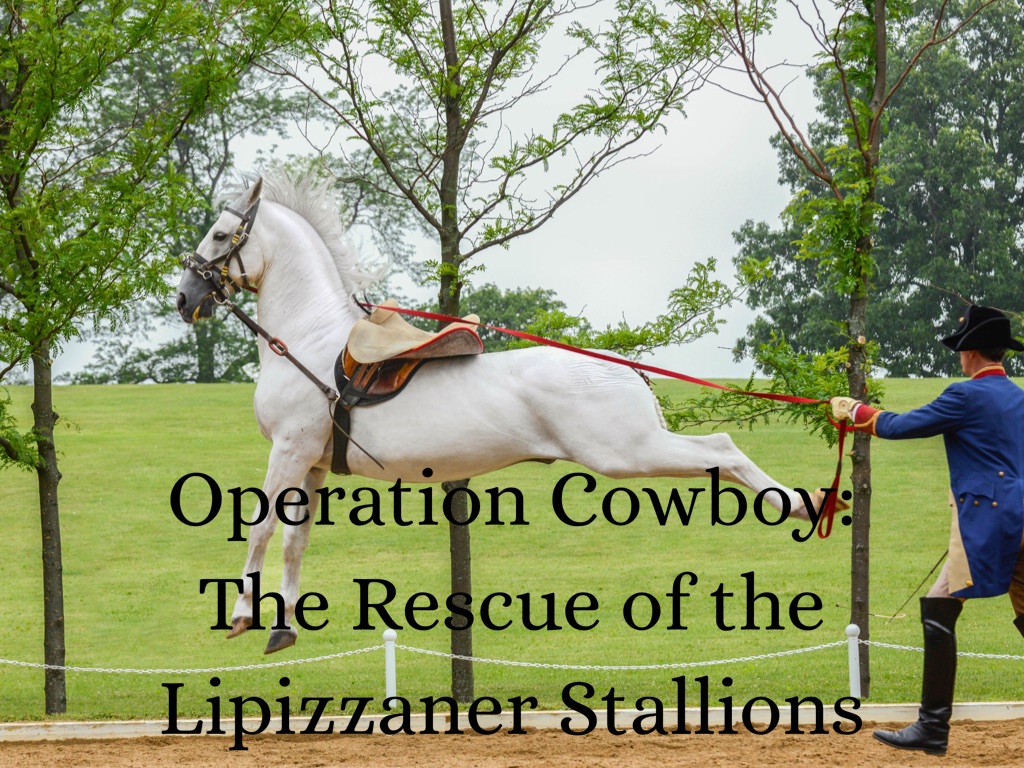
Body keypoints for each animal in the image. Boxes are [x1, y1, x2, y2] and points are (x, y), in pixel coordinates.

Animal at [176, 174, 829, 655]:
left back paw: (801, 505)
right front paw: (282, 625)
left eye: (219, 235)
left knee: (722, 448)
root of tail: (625, 370)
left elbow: (260, 527)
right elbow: (295, 540)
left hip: (629, 452)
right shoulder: (311, 462)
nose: (185, 300)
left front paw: (241, 615)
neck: (307, 341)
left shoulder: (287, 449)